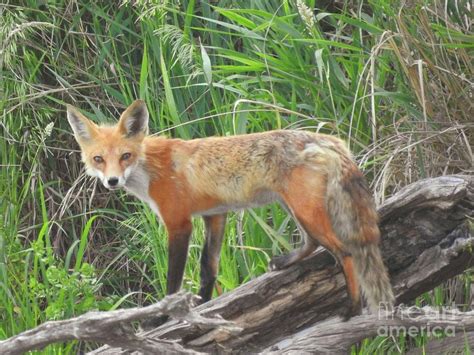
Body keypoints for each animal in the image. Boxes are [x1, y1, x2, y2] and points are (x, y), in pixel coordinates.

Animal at [65, 99, 392, 318]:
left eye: (125, 156)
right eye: (98, 159)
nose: (112, 181)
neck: (151, 168)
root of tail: (326, 138)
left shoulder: (178, 223)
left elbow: (173, 281)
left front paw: (162, 317)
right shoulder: (215, 215)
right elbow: (208, 270)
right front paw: (205, 305)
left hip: (304, 210)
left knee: (345, 252)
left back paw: (352, 306)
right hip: (296, 208)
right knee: (313, 243)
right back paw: (286, 262)